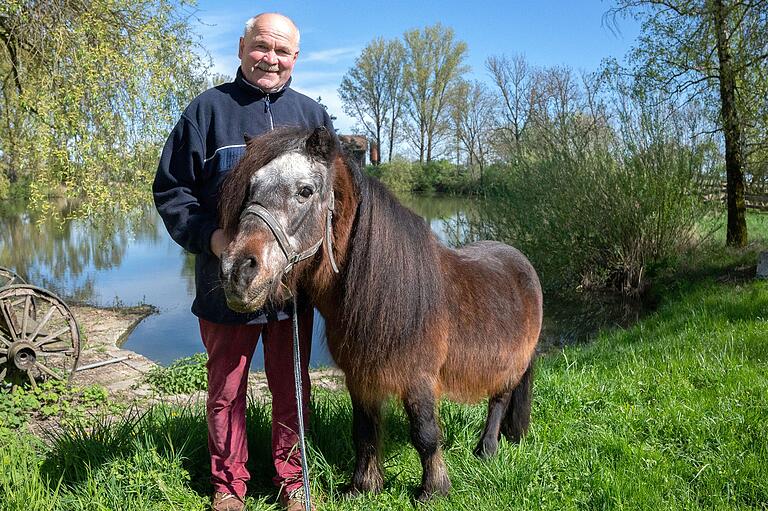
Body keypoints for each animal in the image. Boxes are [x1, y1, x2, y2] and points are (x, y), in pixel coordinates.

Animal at [214, 126, 540, 502]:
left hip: (508, 365)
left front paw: (433, 490)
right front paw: (364, 485)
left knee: (499, 401)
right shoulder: (360, 376)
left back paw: (486, 449)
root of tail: (522, 261)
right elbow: (364, 431)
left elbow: (426, 434)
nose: (237, 271)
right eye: (251, 187)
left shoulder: (419, 378)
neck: (386, 289)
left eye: (305, 191)